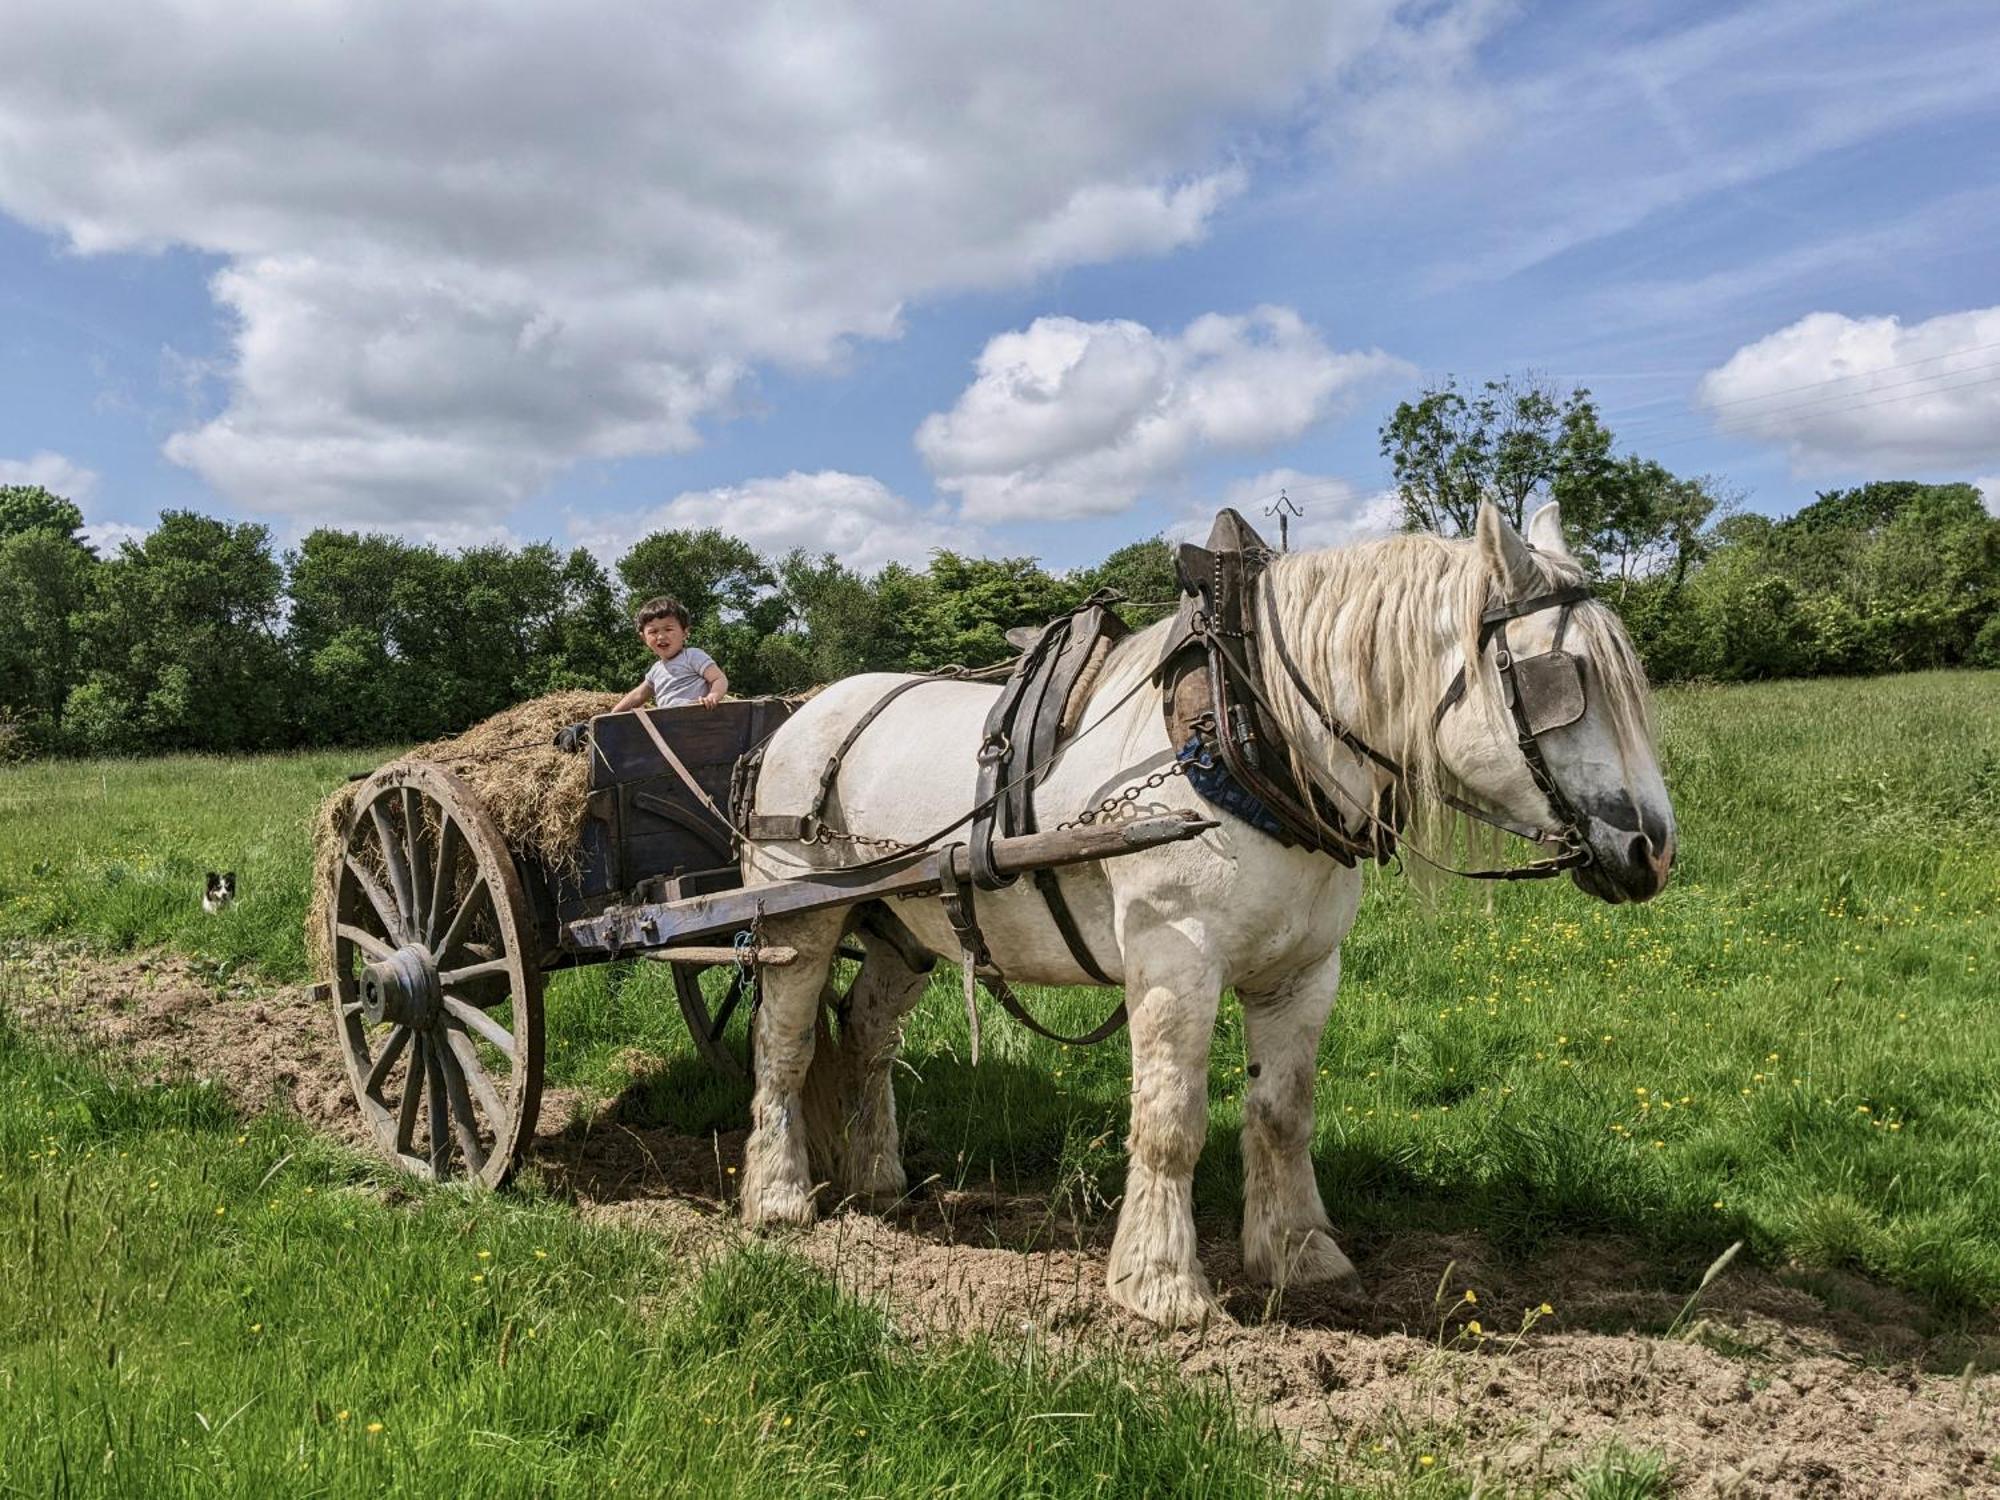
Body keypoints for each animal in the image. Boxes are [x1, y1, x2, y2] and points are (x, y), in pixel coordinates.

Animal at [736, 506, 1672, 1328]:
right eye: (1563, 685)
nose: (1652, 848)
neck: (1249, 734)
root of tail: (797, 717)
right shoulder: (1173, 958)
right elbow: (1170, 1123)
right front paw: (1160, 1285)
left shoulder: (1303, 972)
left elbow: (1283, 1113)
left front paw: (1298, 1254)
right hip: (797, 918)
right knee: (785, 1046)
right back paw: (777, 1197)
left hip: (903, 930)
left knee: (866, 1035)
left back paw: (877, 1179)